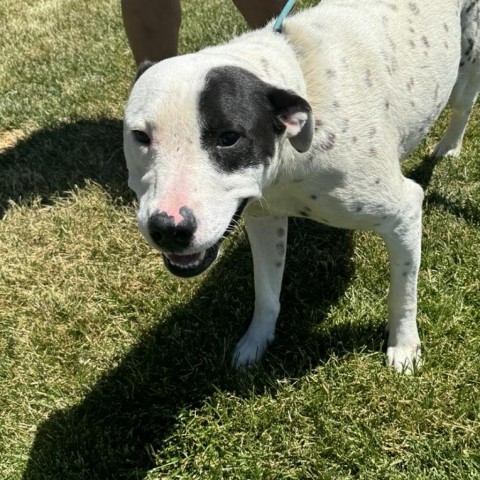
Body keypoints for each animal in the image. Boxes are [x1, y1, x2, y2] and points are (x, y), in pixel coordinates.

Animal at [124, 0, 480, 374]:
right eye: (141, 136)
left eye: (230, 137)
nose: (168, 228)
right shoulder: (264, 219)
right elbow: (266, 292)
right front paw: (256, 342)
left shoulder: (404, 212)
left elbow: (403, 295)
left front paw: (405, 346)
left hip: (468, 60)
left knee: (464, 104)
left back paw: (450, 146)